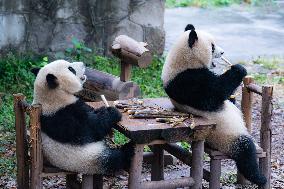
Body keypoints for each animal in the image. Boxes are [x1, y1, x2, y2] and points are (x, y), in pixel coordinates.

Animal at [162, 24, 266, 185]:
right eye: (212, 46)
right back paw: (259, 177)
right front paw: (238, 68)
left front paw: (232, 97)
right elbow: (213, 94)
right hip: (224, 137)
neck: (184, 60)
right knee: (245, 150)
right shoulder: (186, 81)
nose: (222, 52)